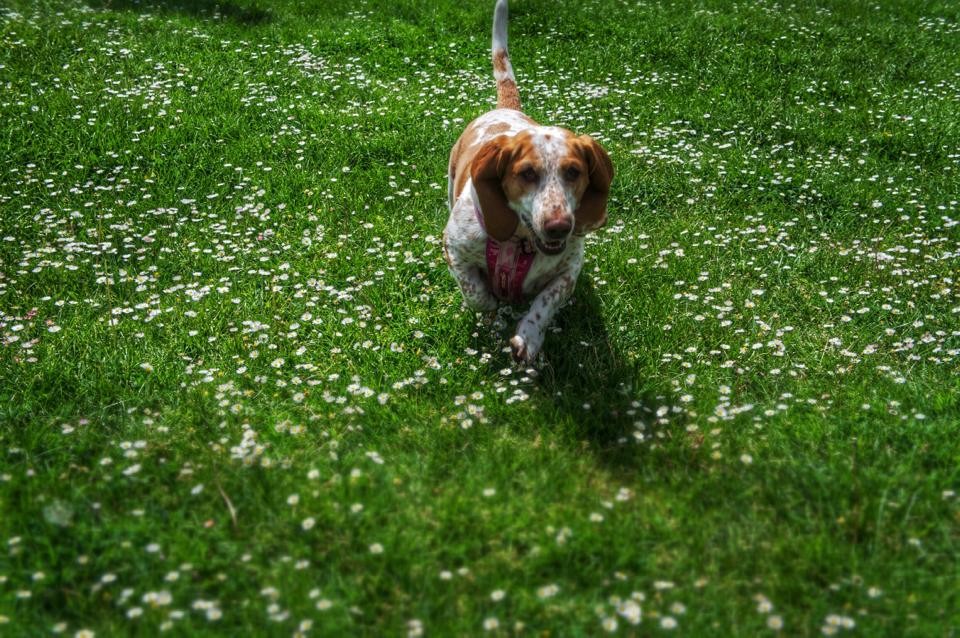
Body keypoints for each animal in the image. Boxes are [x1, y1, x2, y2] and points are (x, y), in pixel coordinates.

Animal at [444, 0, 616, 364]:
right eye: (527, 174)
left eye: (573, 172)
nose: (559, 226)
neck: (520, 242)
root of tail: (506, 109)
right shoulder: (453, 249)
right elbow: (476, 293)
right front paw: (493, 309)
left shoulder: (569, 269)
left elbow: (546, 302)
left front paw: (529, 336)